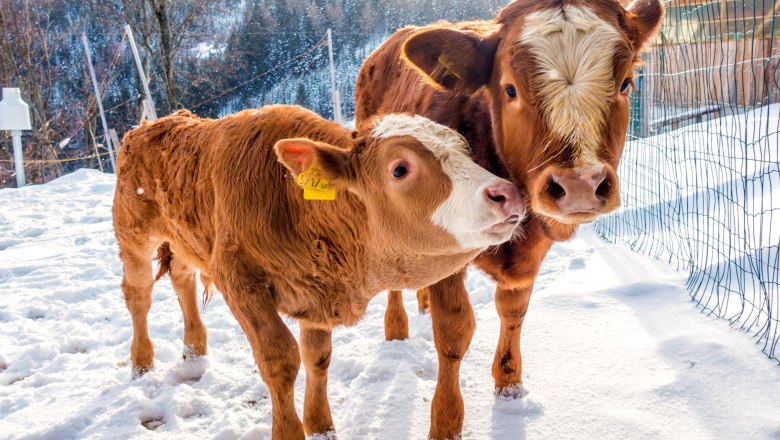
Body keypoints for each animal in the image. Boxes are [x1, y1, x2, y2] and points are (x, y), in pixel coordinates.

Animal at [112, 105, 525, 439]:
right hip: (132, 232)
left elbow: (317, 356)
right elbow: (279, 359)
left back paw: (194, 350)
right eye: (400, 168)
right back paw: (141, 362)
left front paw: (321, 425)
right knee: (138, 293)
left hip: (181, 238)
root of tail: (152, 123)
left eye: (466, 150)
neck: (291, 195)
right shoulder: (239, 279)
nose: (508, 194)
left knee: (182, 278)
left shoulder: (318, 283)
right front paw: (290, 431)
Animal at [354, 0, 664, 437]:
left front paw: (510, 385)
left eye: (625, 84)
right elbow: (454, 332)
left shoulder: (530, 255)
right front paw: (445, 420)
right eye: (511, 89)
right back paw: (396, 329)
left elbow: (514, 312)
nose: (580, 185)